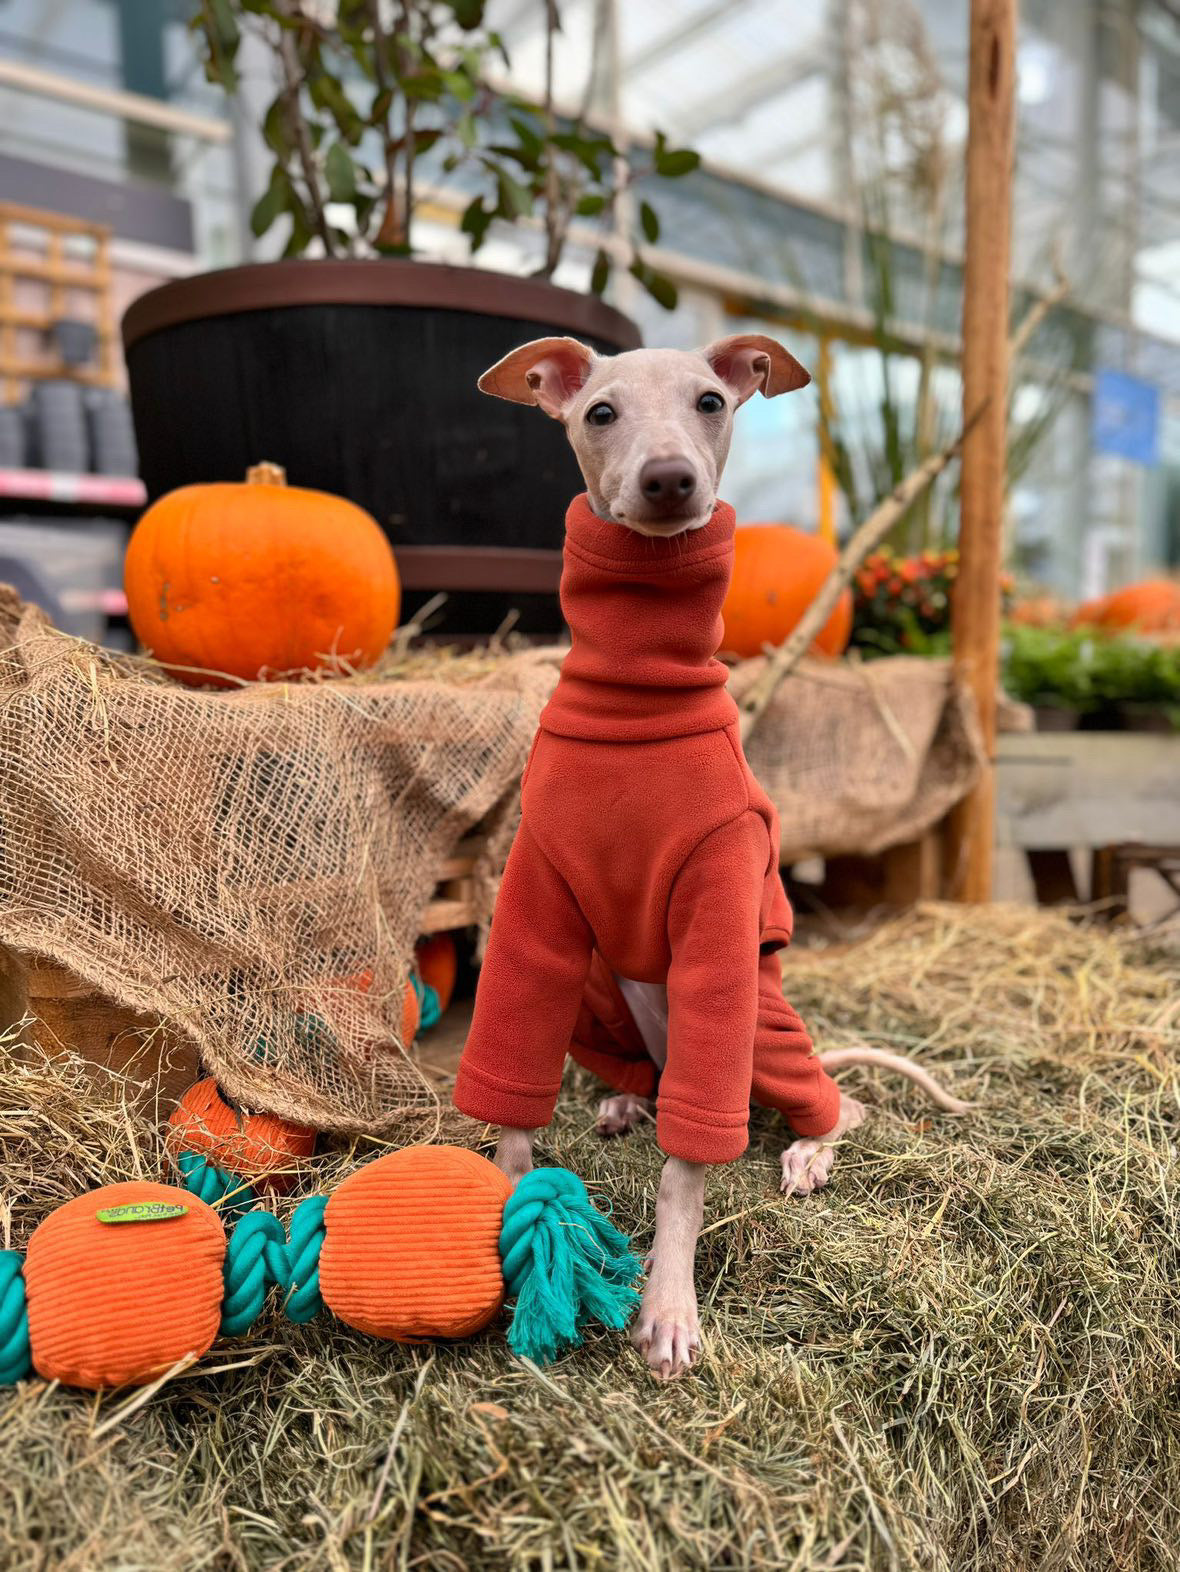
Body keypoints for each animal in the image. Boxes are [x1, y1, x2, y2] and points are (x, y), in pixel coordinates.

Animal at [452, 331, 967, 1377]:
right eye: (600, 412)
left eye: (711, 402)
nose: (669, 480)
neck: (636, 693)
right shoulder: (536, 899)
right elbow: (514, 1111)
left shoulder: (721, 905)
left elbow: (685, 1172)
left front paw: (669, 1306)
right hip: (602, 993)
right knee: (653, 1079)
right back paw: (625, 1101)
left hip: (759, 1026)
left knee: (834, 1099)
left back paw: (809, 1147)